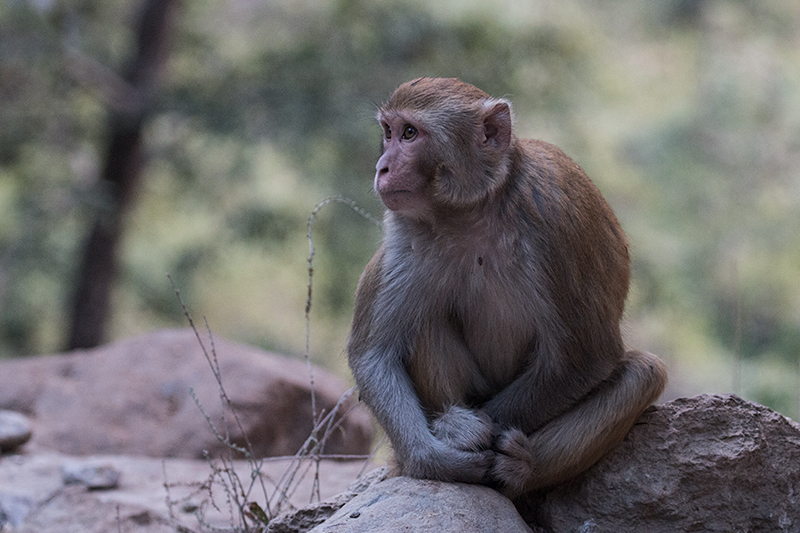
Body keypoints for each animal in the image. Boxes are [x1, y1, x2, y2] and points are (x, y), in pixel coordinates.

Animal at [346, 77, 664, 496]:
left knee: (644, 373)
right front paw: (436, 453)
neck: (473, 209)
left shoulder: (552, 221)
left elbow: (585, 358)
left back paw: (522, 468)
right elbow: (374, 355)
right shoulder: (406, 231)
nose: (382, 167)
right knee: (425, 321)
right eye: (388, 131)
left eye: (410, 133)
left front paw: (465, 436)